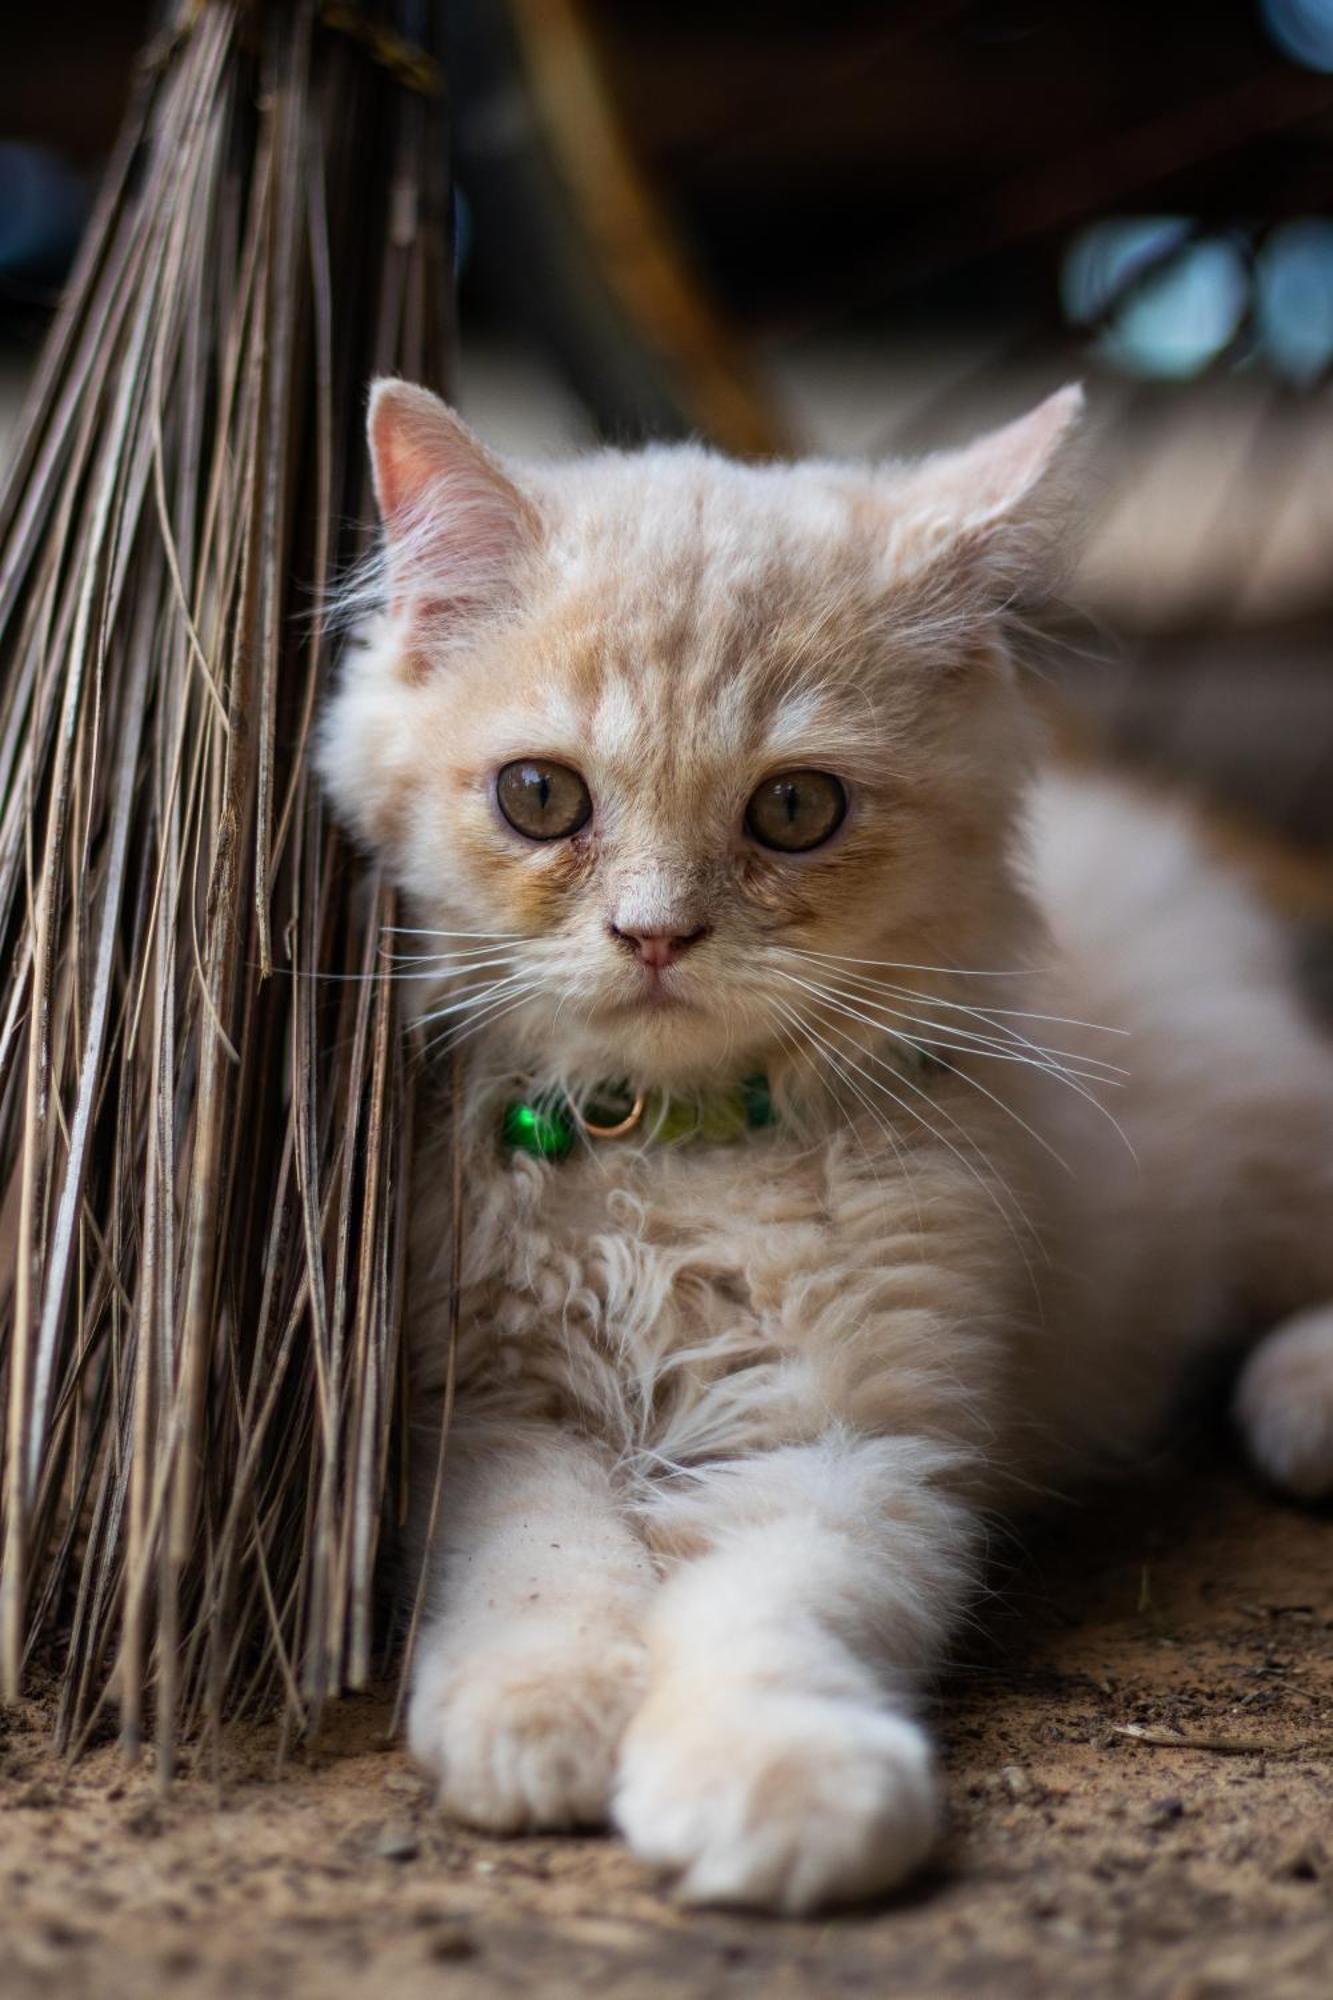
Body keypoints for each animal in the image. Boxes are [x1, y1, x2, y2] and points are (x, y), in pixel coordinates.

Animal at [316, 382, 1328, 1912]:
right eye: (541, 797)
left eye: (794, 810)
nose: (656, 935)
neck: (661, 1156)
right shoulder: (480, 1407)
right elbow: (538, 1559)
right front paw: (539, 1713)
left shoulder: (848, 1438)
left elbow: (772, 1611)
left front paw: (779, 1783)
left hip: (1257, 1138)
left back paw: (1301, 1396)